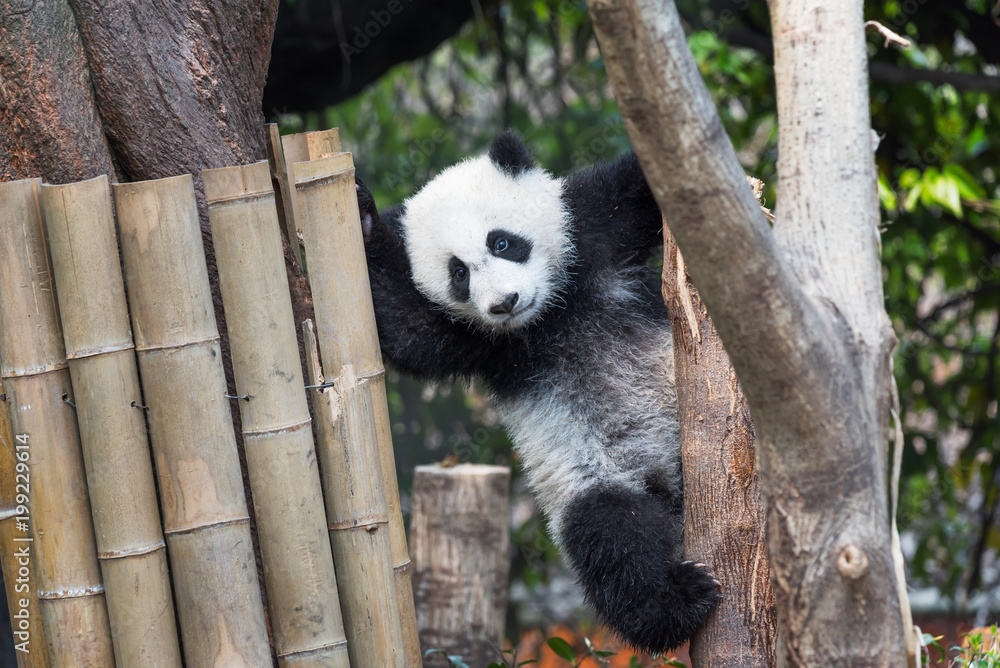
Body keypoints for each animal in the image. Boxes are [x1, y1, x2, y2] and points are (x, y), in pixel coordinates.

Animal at [356, 130, 720, 653]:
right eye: (459, 273)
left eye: (503, 242)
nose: (504, 302)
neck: (548, 316)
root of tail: (674, 496)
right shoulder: (483, 344)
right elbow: (405, 325)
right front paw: (363, 218)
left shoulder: (594, 230)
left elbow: (638, 192)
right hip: (593, 475)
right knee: (611, 533)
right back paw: (676, 602)